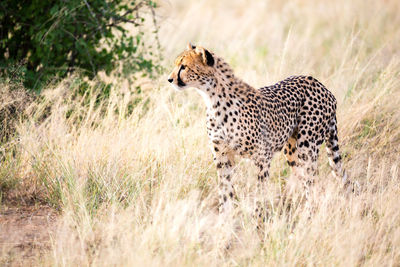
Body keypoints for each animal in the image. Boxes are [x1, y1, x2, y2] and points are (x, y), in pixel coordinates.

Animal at [169, 43, 350, 216]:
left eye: (184, 66)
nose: (169, 79)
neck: (212, 99)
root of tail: (321, 85)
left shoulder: (262, 156)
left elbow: (259, 193)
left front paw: (258, 220)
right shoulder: (222, 156)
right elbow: (225, 192)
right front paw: (224, 220)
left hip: (307, 147)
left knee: (313, 182)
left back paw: (310, 215)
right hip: (292, 151)